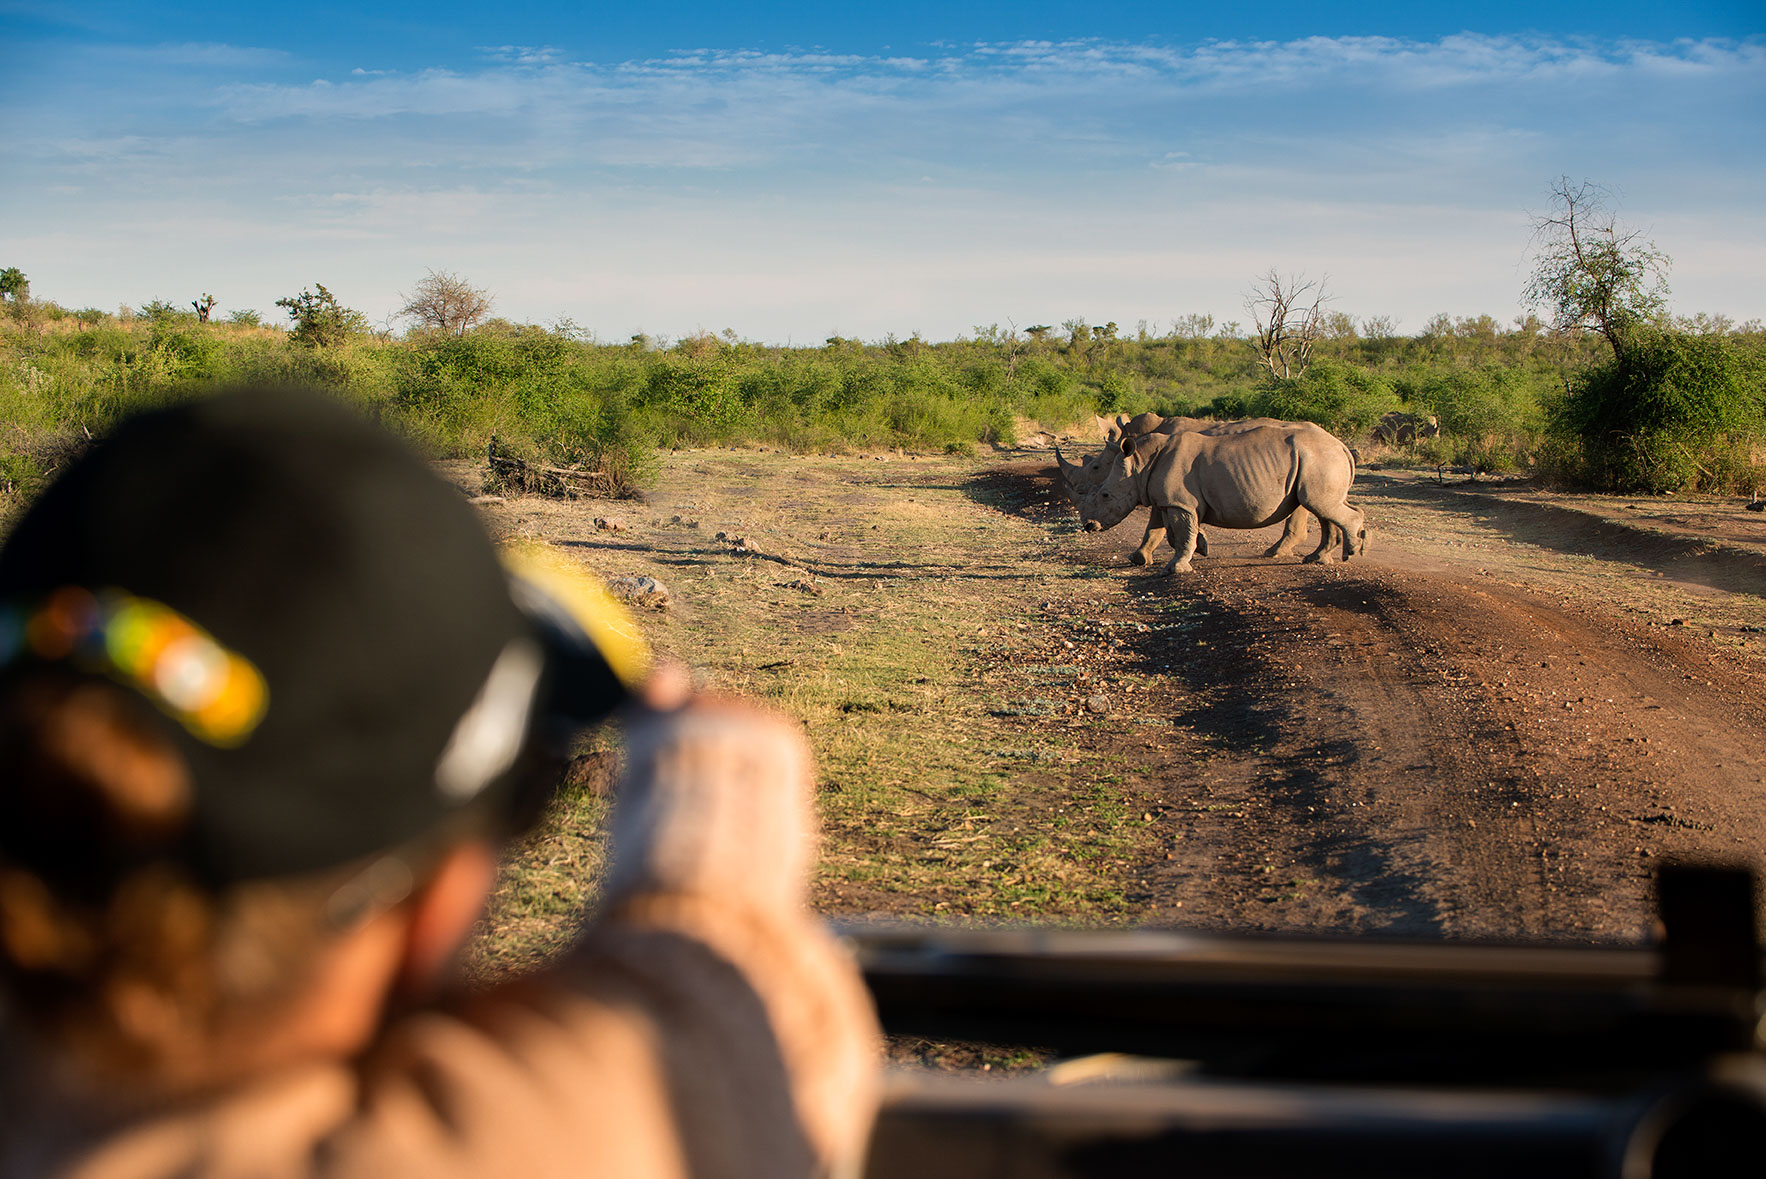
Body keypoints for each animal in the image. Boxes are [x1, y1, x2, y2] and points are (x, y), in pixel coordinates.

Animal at [1069, 424, 1367, 573]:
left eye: (1105, 495)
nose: (1089, 526)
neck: (1140, 464)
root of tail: (1342, 446)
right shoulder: (1167, 500)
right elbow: (1159, 530)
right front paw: (1142, 558)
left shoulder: (1180, 503)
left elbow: (1180, 532)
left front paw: (1177, 568)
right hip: (1316, 460)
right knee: (1321, 508)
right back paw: (1318, 560)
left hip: (1319, 458)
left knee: (1320, 505)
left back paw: (1351, 552)